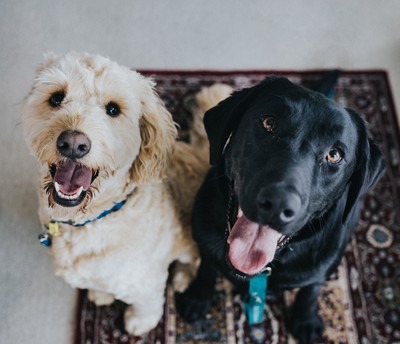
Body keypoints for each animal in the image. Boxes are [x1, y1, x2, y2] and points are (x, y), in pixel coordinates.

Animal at [21, 52, 233, 334]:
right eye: (56, 97)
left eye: (113, 109)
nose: (73, 144)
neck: (93, 219)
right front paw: (101, 294)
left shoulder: (145, 280)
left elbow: (147, 304)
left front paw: (139, 322)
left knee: (193, 260)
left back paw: (182, 277)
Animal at [177, 76, 384, 342]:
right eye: (269, 123)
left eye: (334, 154)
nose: (277, 204)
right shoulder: (204, 238)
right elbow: (206, 268)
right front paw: (198, 297)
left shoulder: (320, 267)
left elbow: (310, 290)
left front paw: (305, 319)